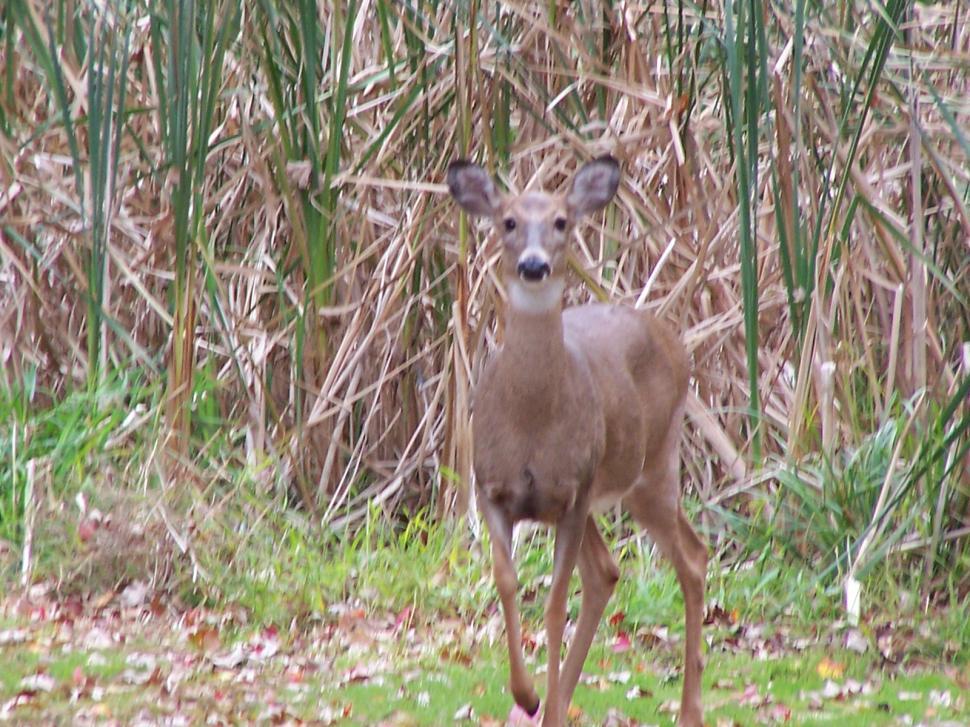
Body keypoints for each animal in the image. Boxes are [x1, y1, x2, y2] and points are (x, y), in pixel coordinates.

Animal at [446, 155, 707, 727]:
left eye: (562, 221)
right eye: (508, 221)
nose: (534, 266)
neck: (531, 422)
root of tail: (673, 338)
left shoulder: (571, 493)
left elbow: (554, 601)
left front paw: (532, 697)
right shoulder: (491, 487)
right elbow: (506, 580)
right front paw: (526, 694)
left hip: (651, 465)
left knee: (692, 559)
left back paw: (688, 711)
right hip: (608, 490)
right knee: (608, 571)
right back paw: (557, 705)